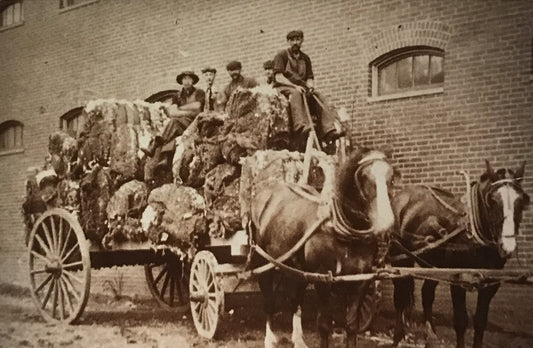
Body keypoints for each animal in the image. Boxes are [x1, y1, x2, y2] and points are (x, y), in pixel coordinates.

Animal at [249, 147, 394, 348]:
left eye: (391, 177)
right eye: (364, 176)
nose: (386, 220)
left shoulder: (360, 280)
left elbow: (351, 325)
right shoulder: (322, 277)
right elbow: (324, 325)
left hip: (296, 269)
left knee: (295, 301)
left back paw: (298, 339)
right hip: (263, 262)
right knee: (269, 302)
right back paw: (269, 339)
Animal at [388, 160, 528, 348]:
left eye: (522, 200)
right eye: (492, 200)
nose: (508, 246)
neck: (472, 233)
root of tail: (401, 197)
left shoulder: (490, 283)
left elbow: (480, 321)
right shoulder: (457, 279)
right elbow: (461, 321)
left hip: (434, 266)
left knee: (427, 294)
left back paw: (431, 335)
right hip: (399, 260)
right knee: (399, 297)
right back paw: (397, 335)